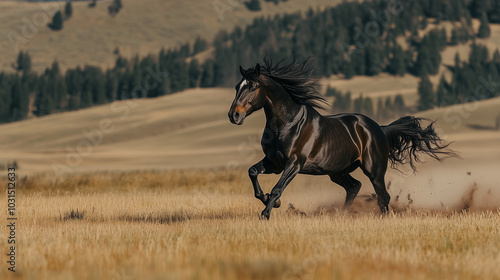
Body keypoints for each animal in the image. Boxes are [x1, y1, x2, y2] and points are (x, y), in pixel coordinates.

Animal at [229, 59, 456, 220]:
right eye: (237, 86)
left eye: (252, 87)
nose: (234, 115)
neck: (286, 124)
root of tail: (379, 129)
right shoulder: (273, 162)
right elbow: (253, 173)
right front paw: (269, 201)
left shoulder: (294, 163)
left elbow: (278, 187)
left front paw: (266, 213)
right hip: (337, 171)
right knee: (354, 186)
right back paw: (342, 214)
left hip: (373, 169)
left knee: (382, 195)